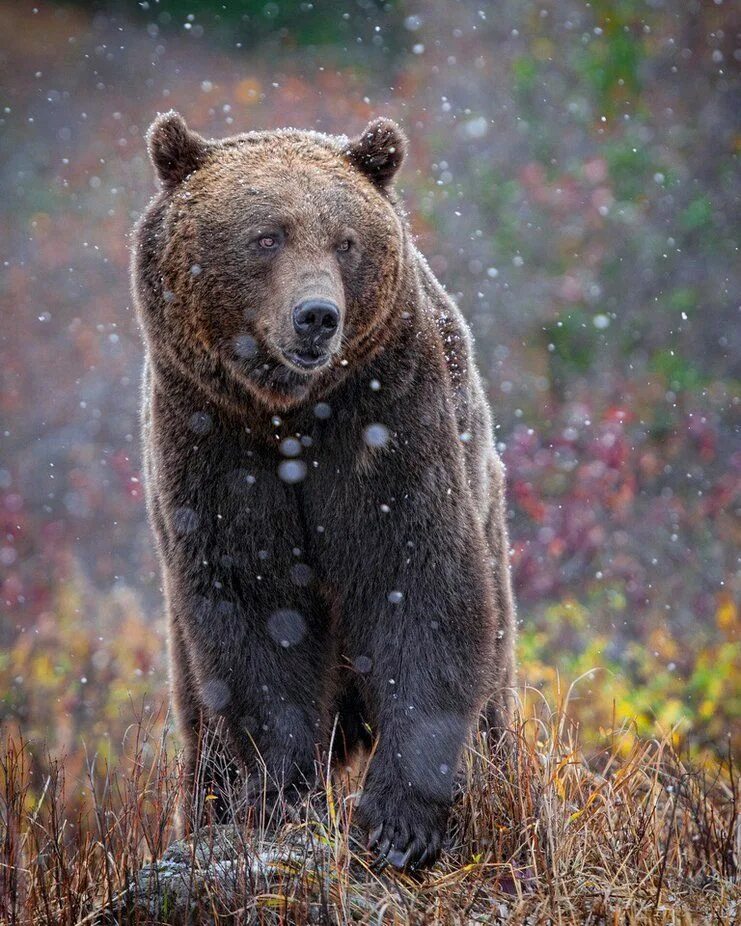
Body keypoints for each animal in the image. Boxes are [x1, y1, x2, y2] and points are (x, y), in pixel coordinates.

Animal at [130, 112, 516, 872]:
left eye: (344, 240)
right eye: (266, 235)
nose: (316, 316)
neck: (292, 415)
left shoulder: (386, 421)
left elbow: (417, 581)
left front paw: (398, 825)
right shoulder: (213, 445)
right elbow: (255, 615)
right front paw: (280, 799)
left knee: (491, 708)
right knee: (204, 734)